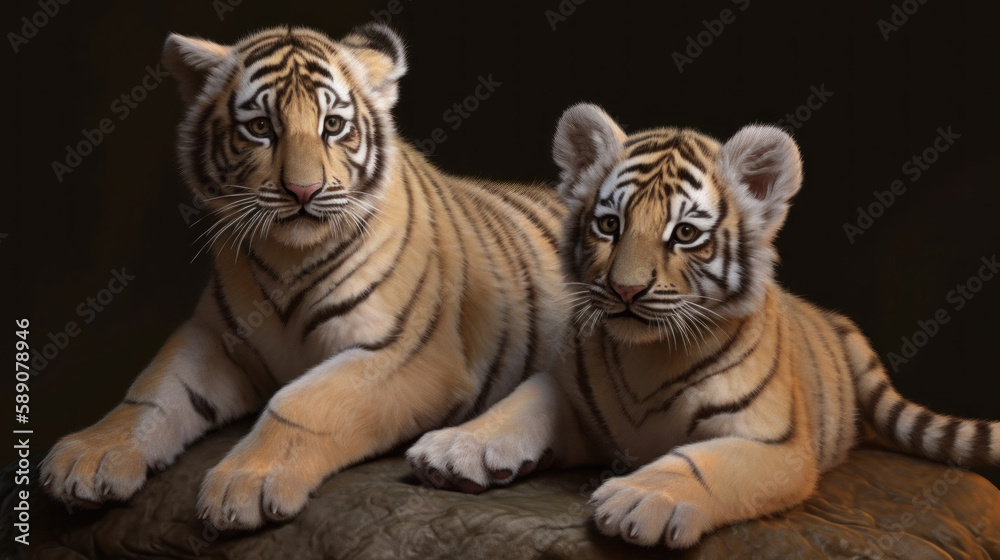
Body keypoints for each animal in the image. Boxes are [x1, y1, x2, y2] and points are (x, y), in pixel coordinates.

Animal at [39, 24, 569, 531]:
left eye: (332, 125)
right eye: (260, 128)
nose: (303, 190)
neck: (287, 262)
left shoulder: (410, 355)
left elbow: (300, 403)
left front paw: (244, 484)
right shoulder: (214, 335)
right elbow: (153, 392)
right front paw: (90, 456)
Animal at [407, 103, 1000, 548]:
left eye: (686, 234)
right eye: (609, 225)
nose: (625, 290)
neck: (647, 354)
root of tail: (832, 318)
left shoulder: (773, 444)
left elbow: (701, 462)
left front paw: (642, 497)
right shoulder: (572, 399)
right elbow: (519, 403)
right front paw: (455, 448)